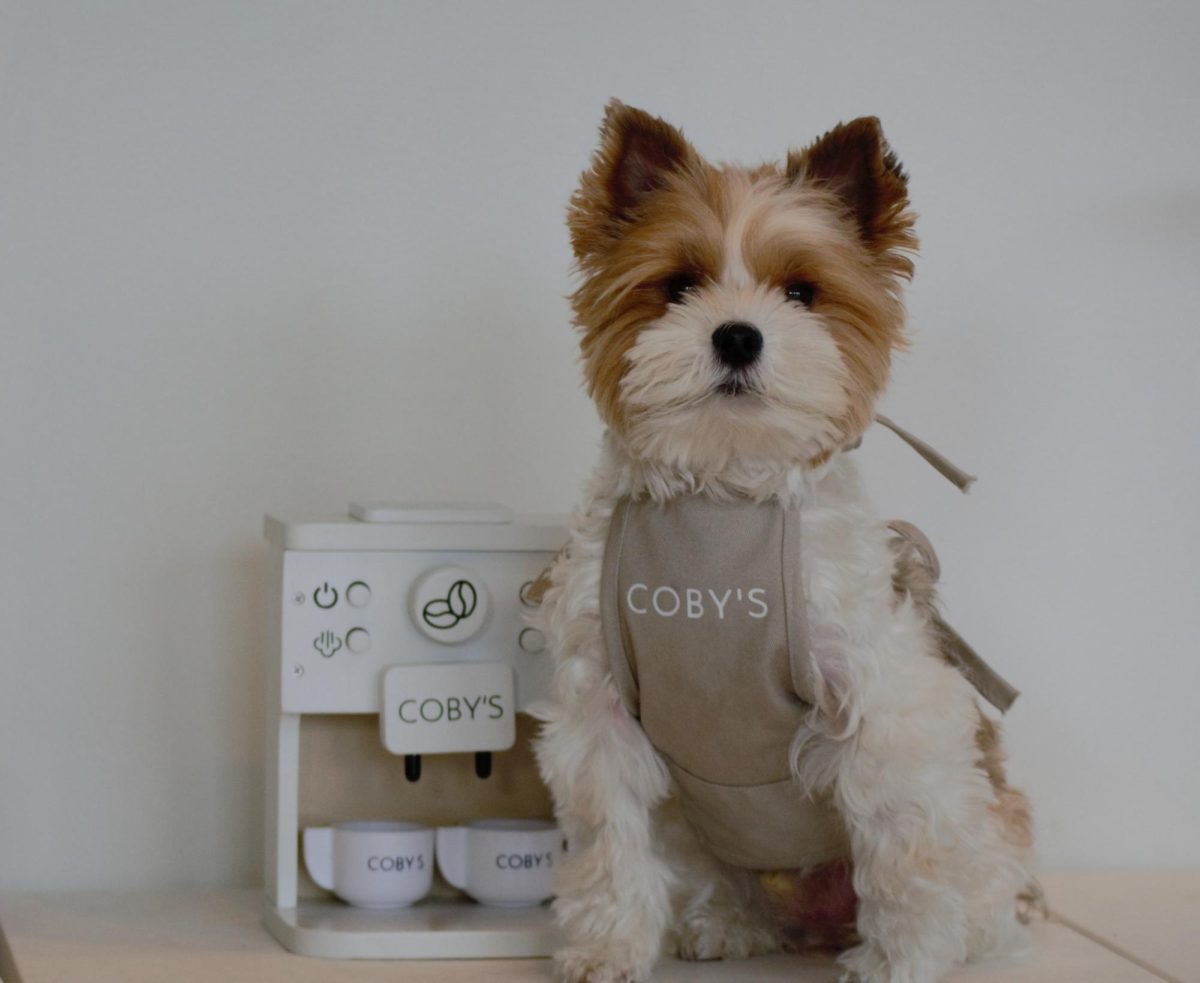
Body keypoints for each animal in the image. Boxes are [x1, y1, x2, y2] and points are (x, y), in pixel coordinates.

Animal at [530, 102, 1036, 983]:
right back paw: (725, 921)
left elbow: (903, 846)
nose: (737, 336)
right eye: (680, 285)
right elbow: (609, 842)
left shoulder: (882, 709)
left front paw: (902, 958)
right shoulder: (601, 715)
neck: (721, 501)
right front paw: (606, 947)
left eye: (801, 291)